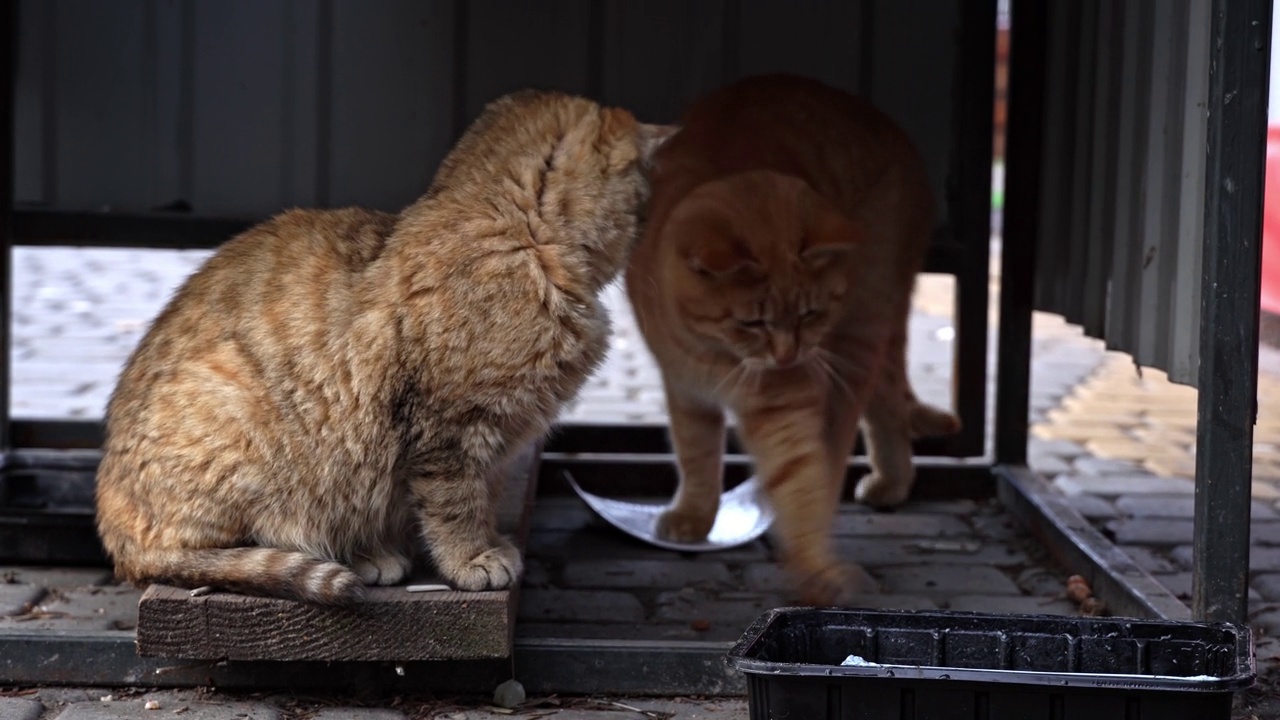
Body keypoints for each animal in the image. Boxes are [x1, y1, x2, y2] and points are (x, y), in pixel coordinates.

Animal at [96, 90, 675, 604]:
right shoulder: (451, 429)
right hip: (234, 408)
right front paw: (471, 559)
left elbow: (484, 498)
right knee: (201, 552)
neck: (521, 238)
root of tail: (110, 525)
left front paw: (489, 543)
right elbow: (456, 504)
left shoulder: (497, 441)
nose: (650, 227)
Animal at [624, 75, 962, 604]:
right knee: (886, 399)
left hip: (861, 328)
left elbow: (800, 478)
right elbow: (696, 454)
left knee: (854, 422)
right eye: (752, 323)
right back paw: (892, 482)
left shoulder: (783, 401)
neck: (712, 354)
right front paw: (694, 517)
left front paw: (818, 571)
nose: (787, 354)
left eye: (809, 313)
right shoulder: (684, 389)